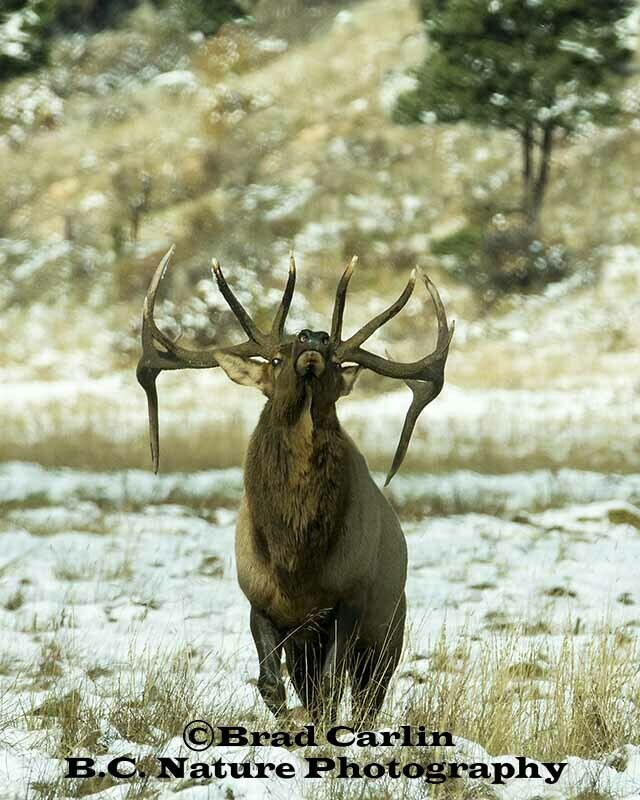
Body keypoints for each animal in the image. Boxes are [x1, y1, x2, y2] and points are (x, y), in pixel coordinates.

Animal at [137, 248, 453, 726]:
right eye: (276, 359)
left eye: (338, 364)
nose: (313, 338)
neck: (296, 562)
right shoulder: (260, 602)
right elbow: (271, 686)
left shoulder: (350, 600)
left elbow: (330, 688)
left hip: (389, 629)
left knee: (366, 699)